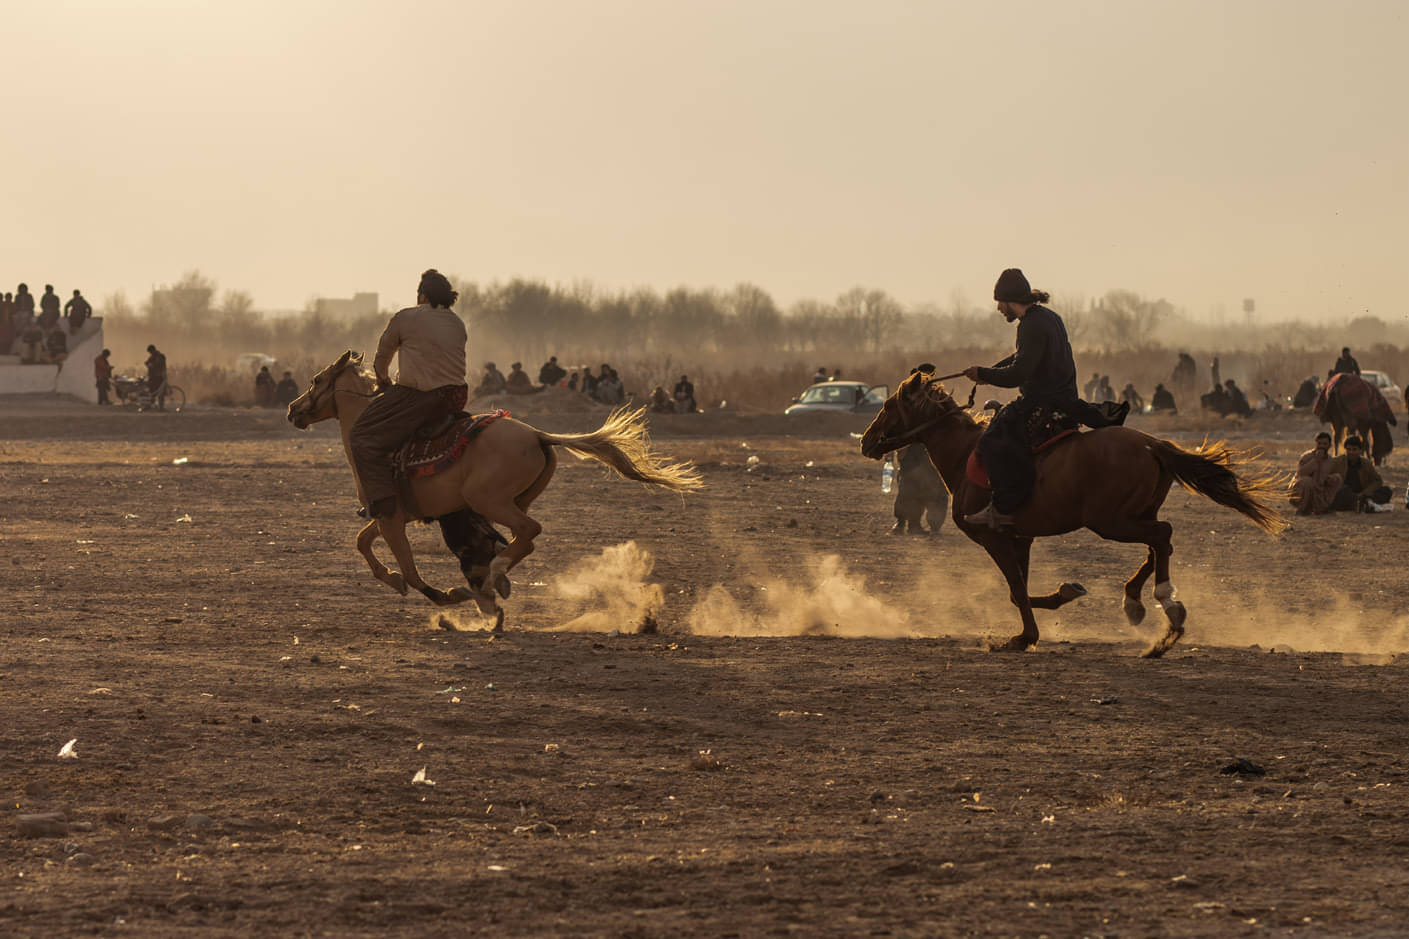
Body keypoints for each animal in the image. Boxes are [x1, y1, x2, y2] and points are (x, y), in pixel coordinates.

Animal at [287, 351, 702, 628]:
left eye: (316, 380)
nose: (292, 410)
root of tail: (536, 434)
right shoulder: (394, 514)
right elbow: (362, 542)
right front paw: (394, 580)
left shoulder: (390, 518)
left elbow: (410, 569)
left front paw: (445, 595)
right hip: (512, 501)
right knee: (521, 538)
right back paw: (496, 581)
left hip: (490, 500)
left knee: (528, 532)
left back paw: (495, 576)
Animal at [859, 368, 1287, 657]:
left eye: (887, 405)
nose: (866, 440)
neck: (966, 454)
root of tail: (1151, 445)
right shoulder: (1020, 537)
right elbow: (1018, 592)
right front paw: (1062, 596)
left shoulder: (993, 537)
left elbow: (1016, 590)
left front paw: (1025, 638)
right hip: (1131, 515)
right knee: (1158, 543)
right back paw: (1136, 602)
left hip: (1110, 521)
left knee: (1162, 536)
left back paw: (1168, 608)